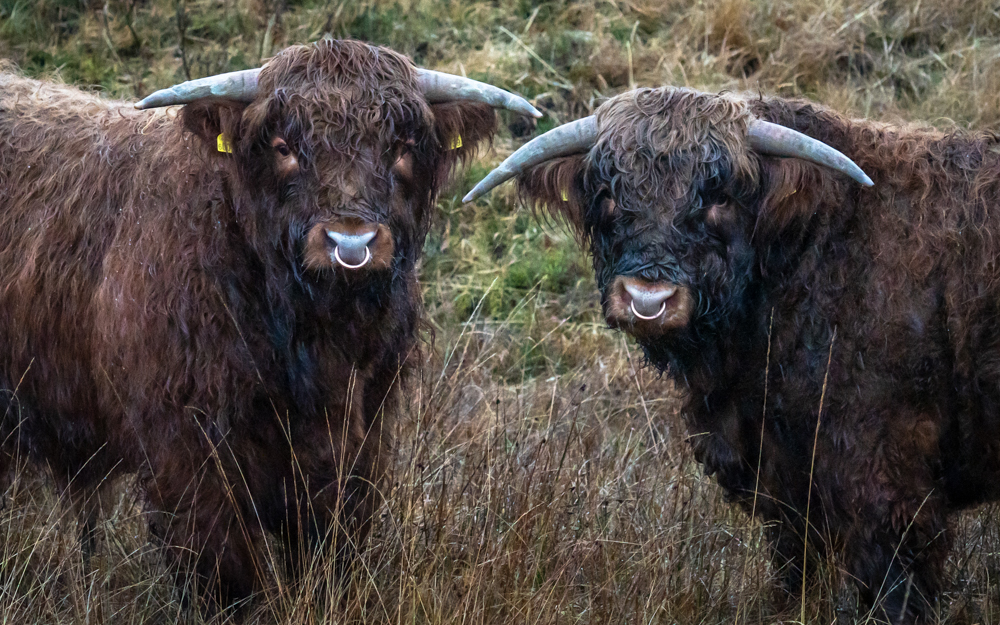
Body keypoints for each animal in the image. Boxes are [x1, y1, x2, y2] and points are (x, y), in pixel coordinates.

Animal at [0, 36, 540, 604]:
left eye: (401, 147)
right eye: (284, 147)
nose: (351, 243)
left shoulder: (361, 433)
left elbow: (331, 550)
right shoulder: (186, 451)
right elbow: (229, 575)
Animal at [466, 86, 1000, 620]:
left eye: (719, 199)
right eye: (609, 196)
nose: (647, 300)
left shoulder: (885, 475)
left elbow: (894, 587)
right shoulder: (786, 476)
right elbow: (794, 566)